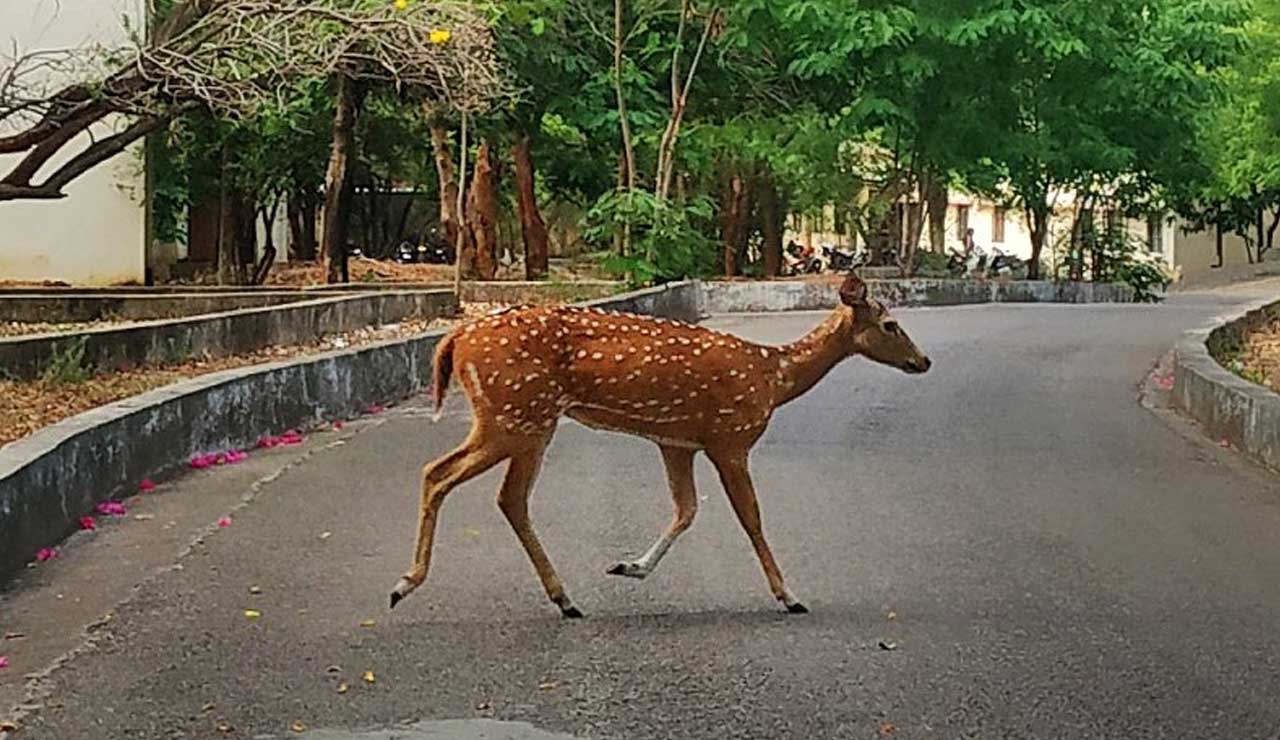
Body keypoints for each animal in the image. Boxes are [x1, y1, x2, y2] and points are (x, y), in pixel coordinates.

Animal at [389, 274, 931, 617]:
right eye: (890, 324)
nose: (923, 361)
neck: (772, 377)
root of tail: (455, 338)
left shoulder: (677, 442)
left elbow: (685, 509)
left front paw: (630, 567)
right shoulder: (731, 438)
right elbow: (751, 517)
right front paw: (789, 595)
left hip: (527, 421)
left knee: (508, 498)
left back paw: (565, 599)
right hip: (515, 414)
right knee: (439, 472)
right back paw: (405, 583)